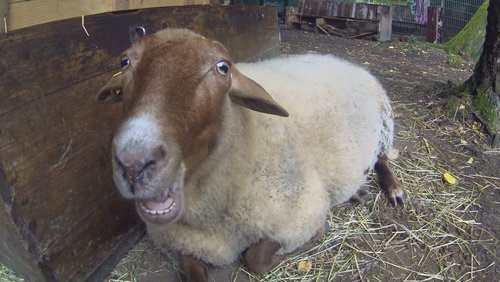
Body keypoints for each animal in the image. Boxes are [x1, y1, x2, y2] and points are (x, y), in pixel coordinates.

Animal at [97, 28, 406, 280]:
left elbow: (255, 258)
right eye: (125, 61)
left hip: (384, 124)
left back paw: (393, 190)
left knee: (382, 159)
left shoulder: (299, 214)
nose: (134, 163)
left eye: (223, 67)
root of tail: (341, 59)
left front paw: (318, 233)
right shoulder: (182, 244)